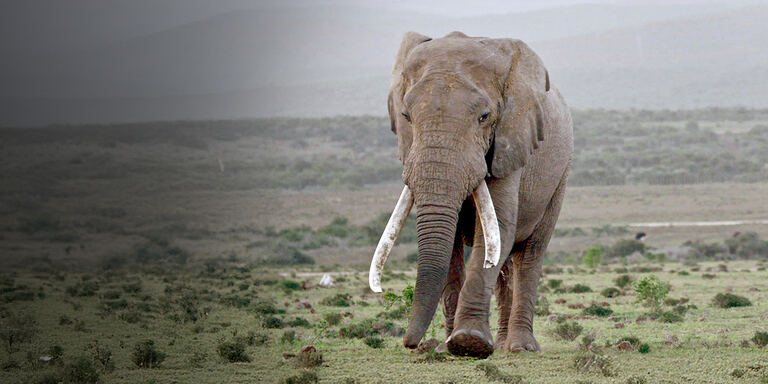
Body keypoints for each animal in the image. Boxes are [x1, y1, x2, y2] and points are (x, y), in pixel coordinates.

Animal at [368, 31, 572, 358]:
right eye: (406, 116)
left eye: (484, 117)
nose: (410, 343)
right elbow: (451, 243)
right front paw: (448, 348)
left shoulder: (510, 142)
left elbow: (498, 224)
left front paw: (469, 343)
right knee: (504, 263)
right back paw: (501, 345)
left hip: (560, 176)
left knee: (529, 255)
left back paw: (520, 347)